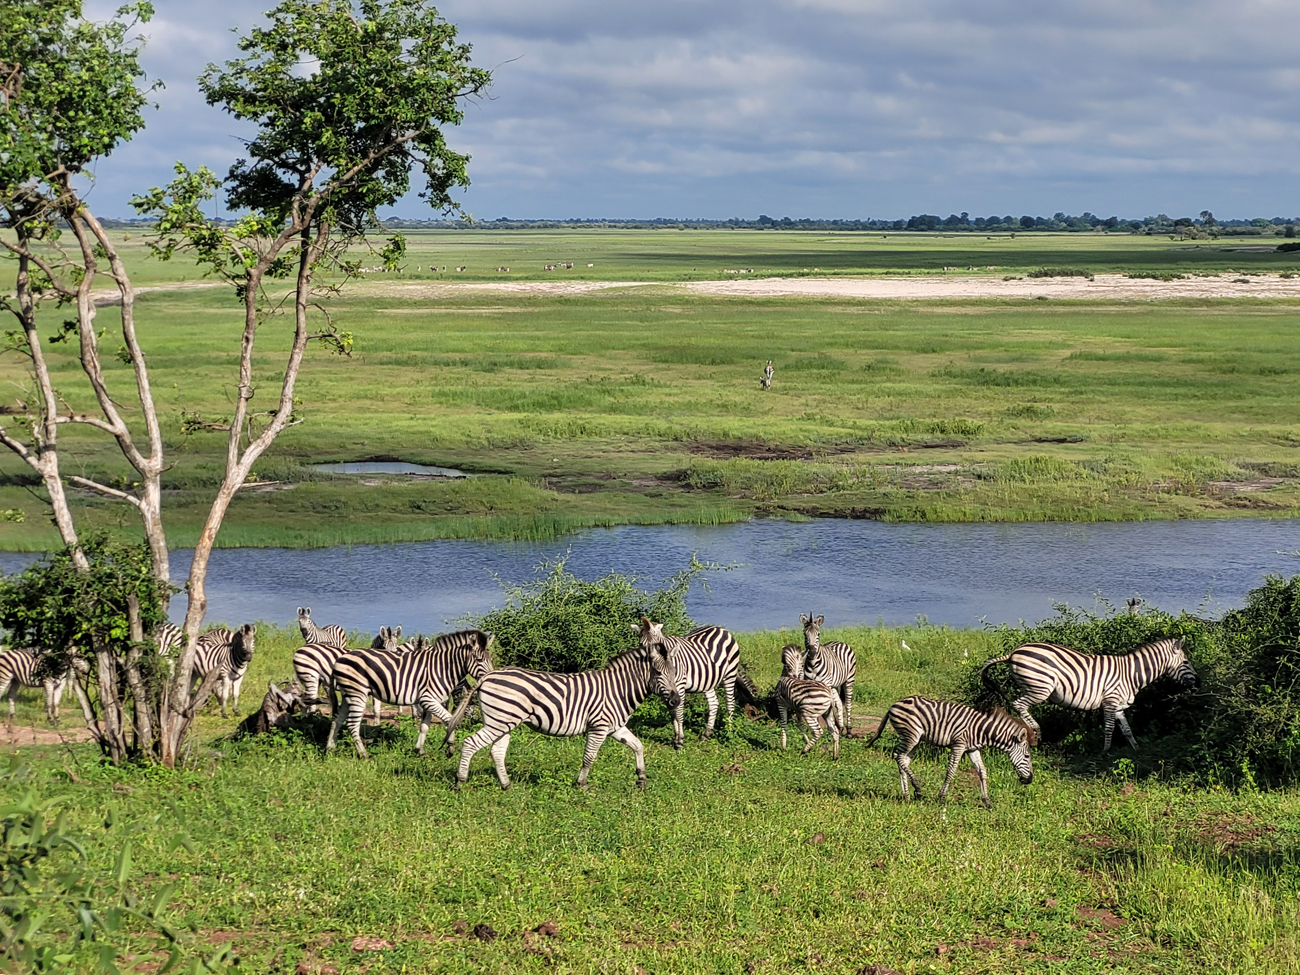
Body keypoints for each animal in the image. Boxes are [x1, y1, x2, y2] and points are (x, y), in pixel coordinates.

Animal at [325, 629, 496, 759]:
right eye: (479, 660)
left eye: (490, 659)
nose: (491, 678)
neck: (442, 668)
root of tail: (340, 659)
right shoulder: (428, 699)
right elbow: (450, 719)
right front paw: (450, 748)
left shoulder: (429, 701)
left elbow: (424, 727)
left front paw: (420, 750)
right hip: (358, 694)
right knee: (352, 724)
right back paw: (364, 754)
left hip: (348, 694)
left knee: (337, 719)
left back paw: (330, 748)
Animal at [447, 626, 686, 795]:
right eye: (658, 673)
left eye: (674, 672)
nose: (676, 700)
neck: (619, 689)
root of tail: (487, 676)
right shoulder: (599, 727)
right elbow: (589, 757)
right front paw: (582, 784)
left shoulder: (615, 727)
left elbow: (638, 746)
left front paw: (641, 779)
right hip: (499, 721)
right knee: (470, 743)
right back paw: (459, 782)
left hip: (503, 722)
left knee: (496, 751)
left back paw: (507, 785)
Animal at [863, 696, 1034, 811]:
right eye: (1027, 757)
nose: (1029, 780)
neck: (981, 730)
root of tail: (895, 704)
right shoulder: (959, 744)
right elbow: (951, 771)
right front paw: (942, 798)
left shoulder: (972, 749)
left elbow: (982, 772)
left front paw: (987, 802)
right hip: (911, 735)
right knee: (897, 756)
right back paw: (917, 789)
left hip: (915, 739)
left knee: (903, 760)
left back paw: (907, 795)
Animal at [977, 637, 1201, 754]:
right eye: (1186, 662)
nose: (1198, 683)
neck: (1131, 675)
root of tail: (1014, 652)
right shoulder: (1110, 701)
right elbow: (1110, 728)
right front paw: (1105, 751)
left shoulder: (1119, 706)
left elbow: (1127, 729)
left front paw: (1136, 749)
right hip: (1040, 687)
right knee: (1019, 704)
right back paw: (1036, 732)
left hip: (1031, 686)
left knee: (1019, 704)